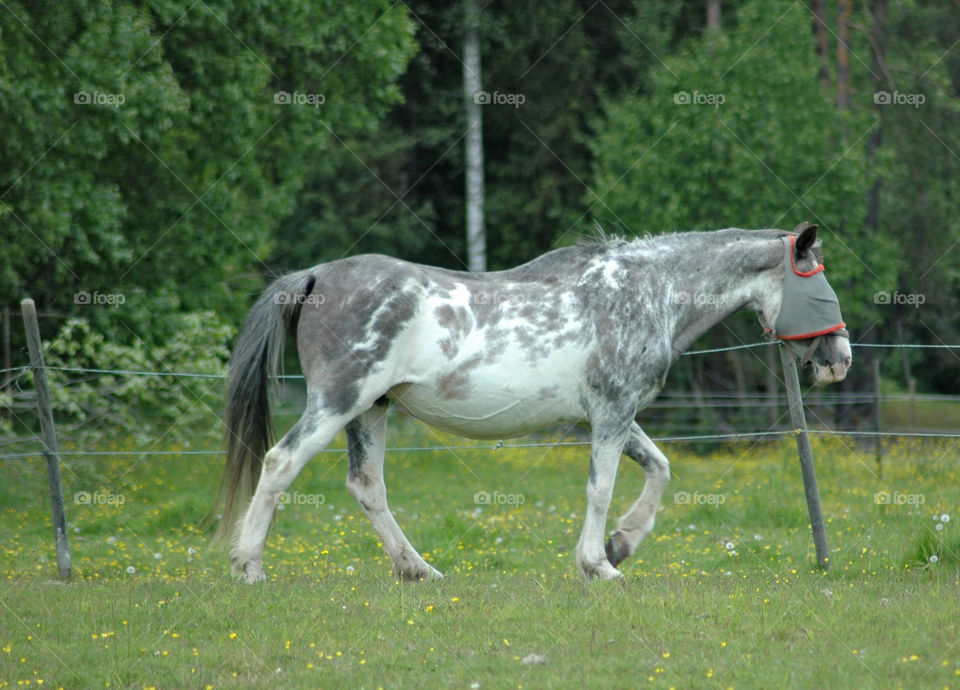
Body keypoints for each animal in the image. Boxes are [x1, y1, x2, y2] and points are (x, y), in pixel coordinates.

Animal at [213, 222, 851, 583]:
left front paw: (622, 544)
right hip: (338, 401)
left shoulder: (609, 415)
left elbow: (661, 470)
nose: (840, 358)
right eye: (818, 280)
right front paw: (598, 565)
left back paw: (417, 570)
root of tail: (317, 275)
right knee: (280, 463)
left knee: (367, 487)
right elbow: (601, 488)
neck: (650, 290)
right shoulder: (613, 413)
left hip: (371, 410)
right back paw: (249, 567)